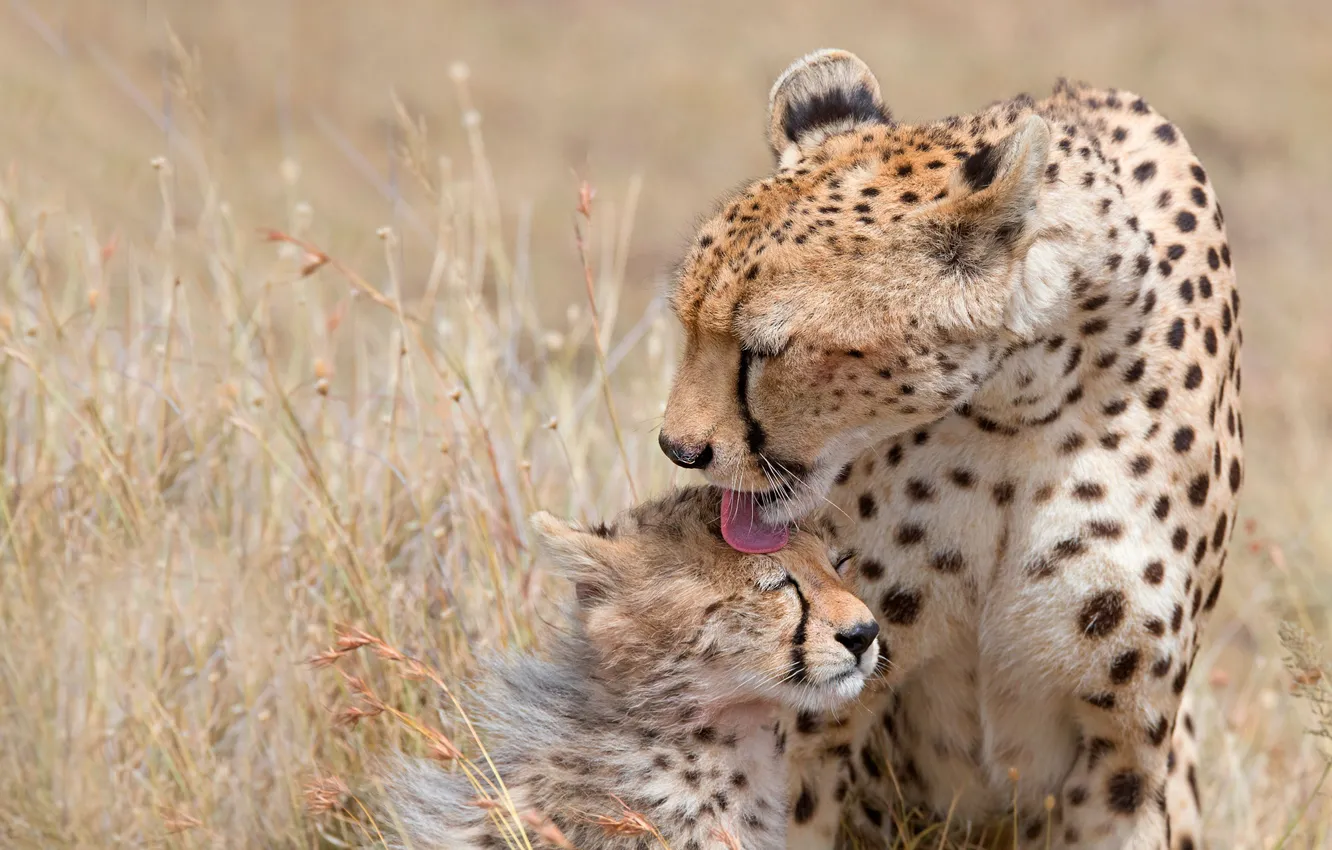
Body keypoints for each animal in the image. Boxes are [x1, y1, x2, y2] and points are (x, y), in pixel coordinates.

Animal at [657, 49, 1242, 850]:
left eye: (765, 350)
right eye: (687, 323)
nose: (677, 448)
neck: (1015, 402)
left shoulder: (1125, 748)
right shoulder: (823, 709)